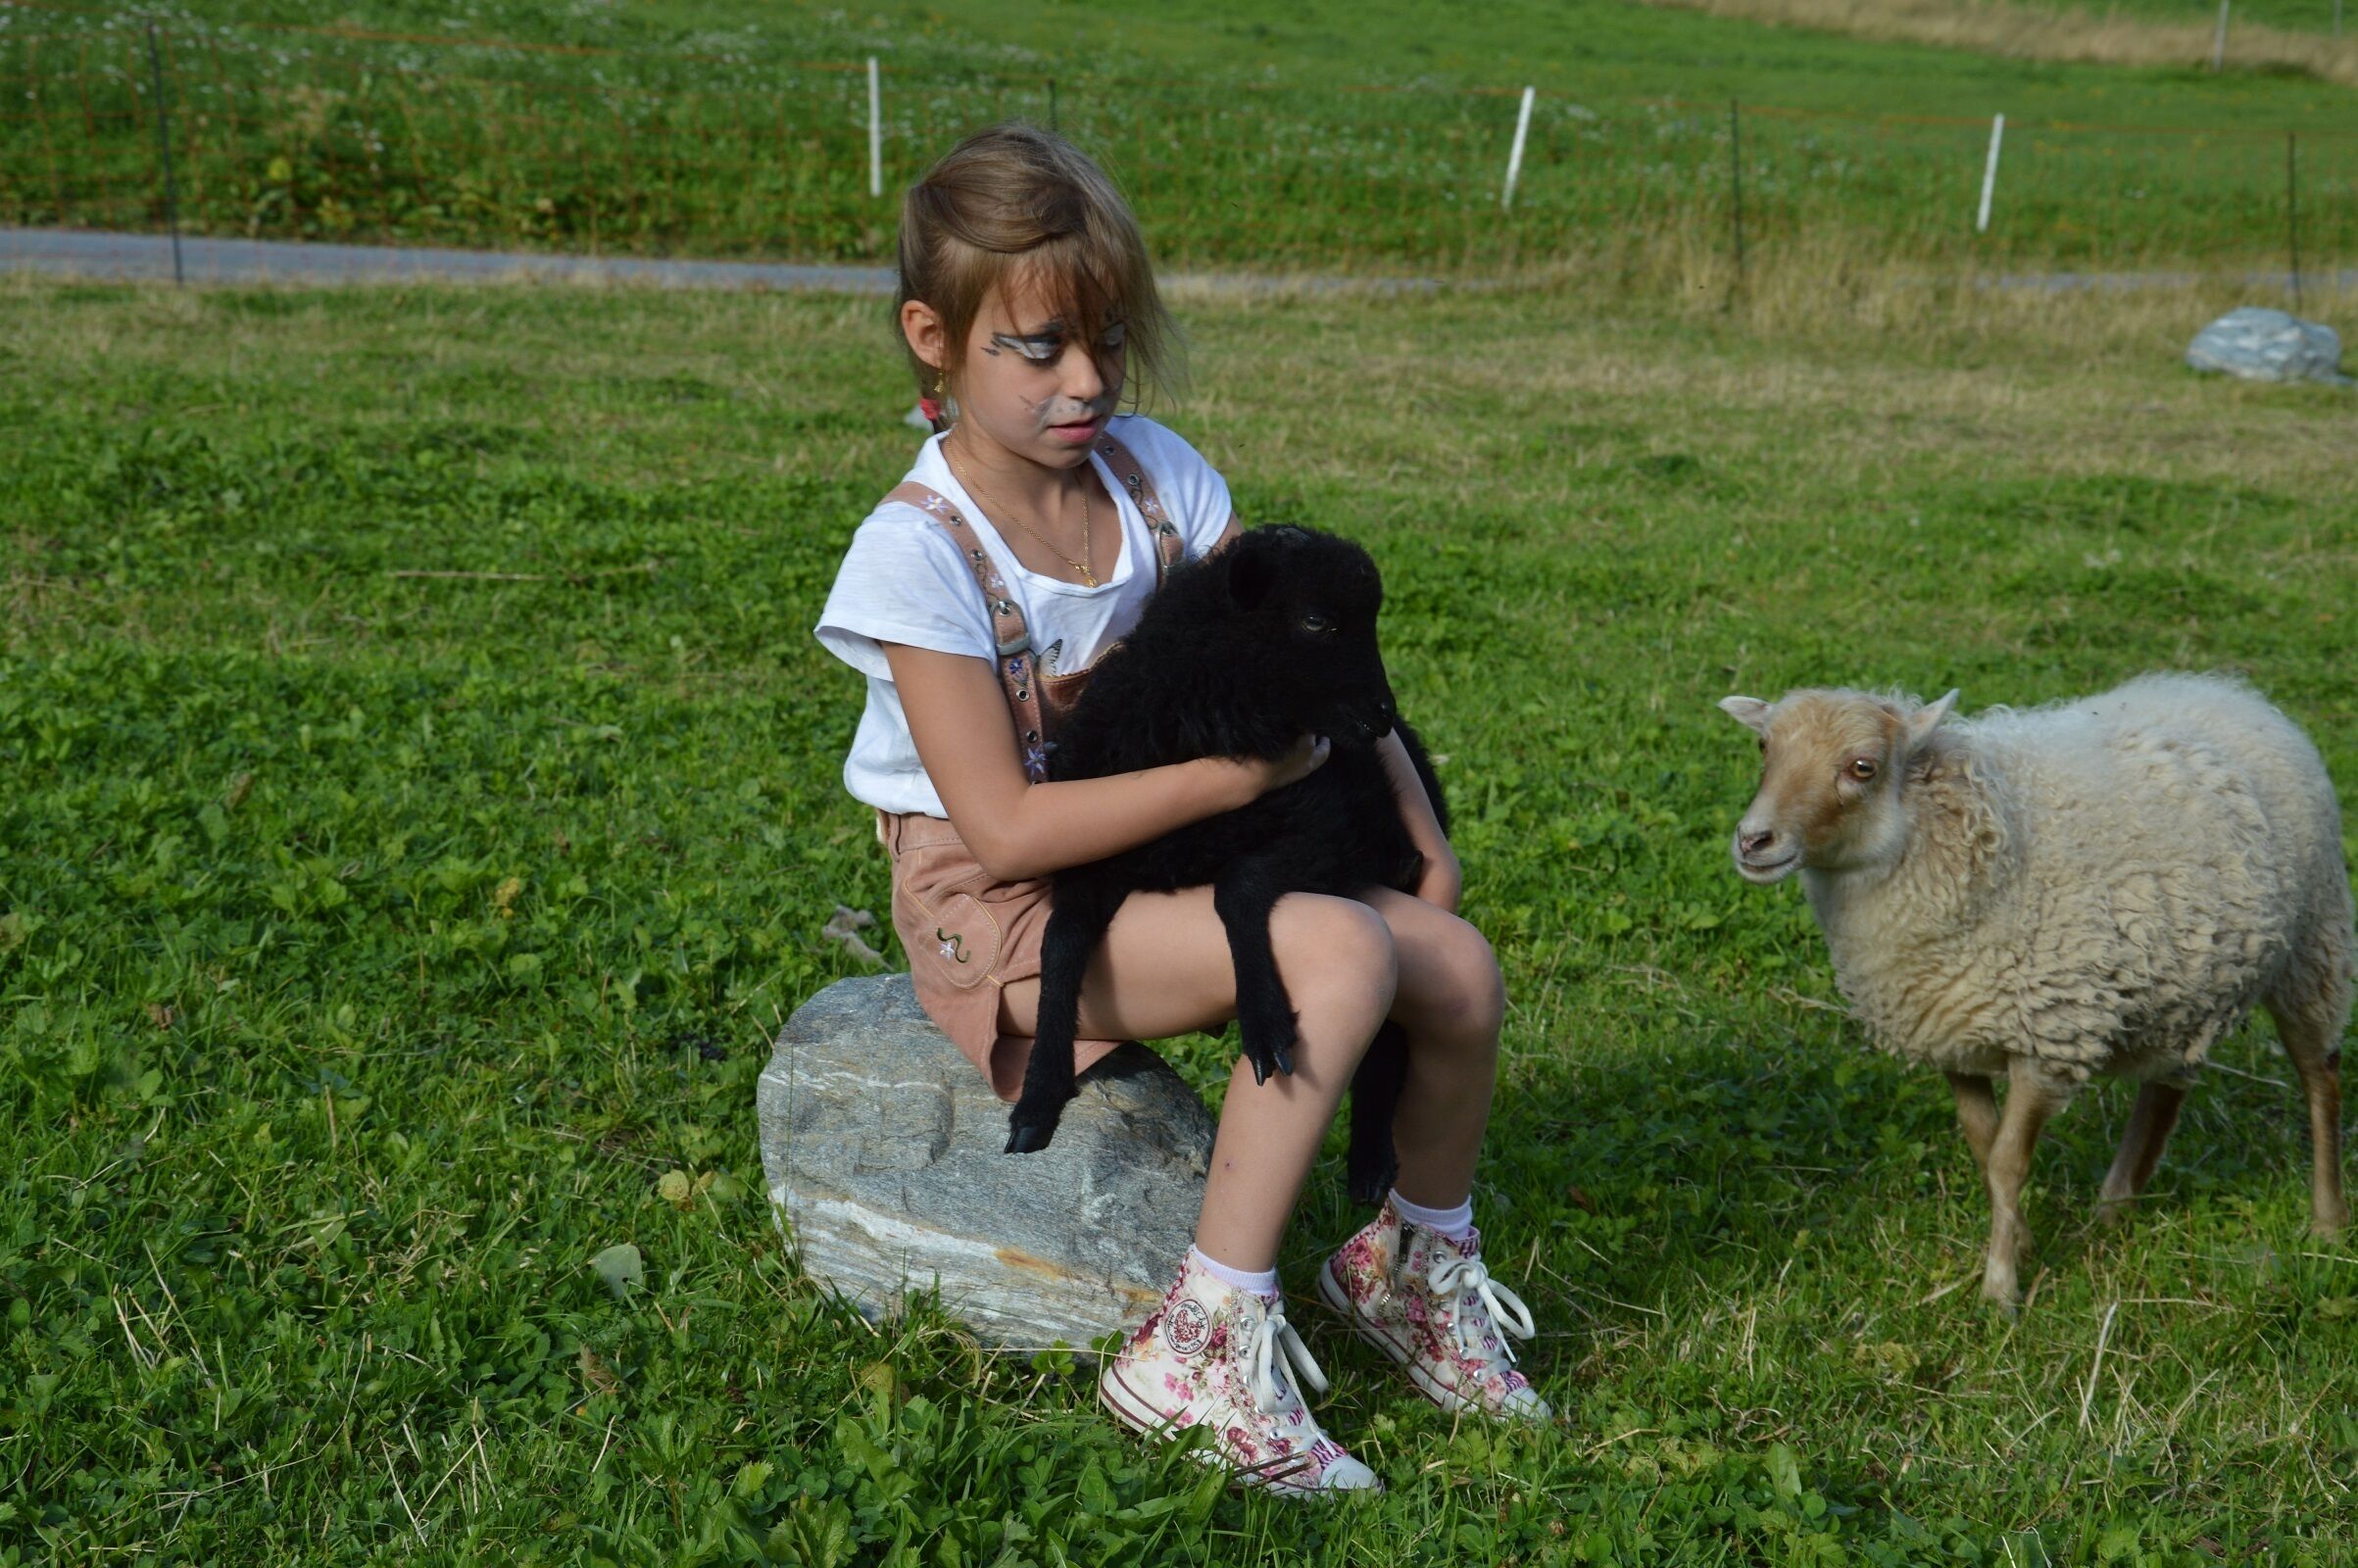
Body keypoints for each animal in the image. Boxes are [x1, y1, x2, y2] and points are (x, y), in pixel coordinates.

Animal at [1006, 524, 1444, 1210]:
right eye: (1316, 620)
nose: (1381, 713)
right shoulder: (1095, 855)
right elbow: (1060, 943)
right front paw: (1038, 1095)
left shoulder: (1330, 834)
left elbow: (1238, 887)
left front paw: (1263, 1023)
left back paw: (1372, 1160)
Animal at [1717, 673, 2351, 1309]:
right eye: (1764, 747)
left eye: (1863, 767)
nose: (1753, 841)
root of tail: (2231, 693)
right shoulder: (1950, 1031)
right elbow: (1982, 1145)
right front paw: (2020, 1241)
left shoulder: (2050, 1038)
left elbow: (2006, 1162)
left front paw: (2000, 1289)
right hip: (2191, 981)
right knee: (2166, 1087)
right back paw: (2113, 1208)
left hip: (2312, 945)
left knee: (2319, 1080)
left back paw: (2327, 1222)